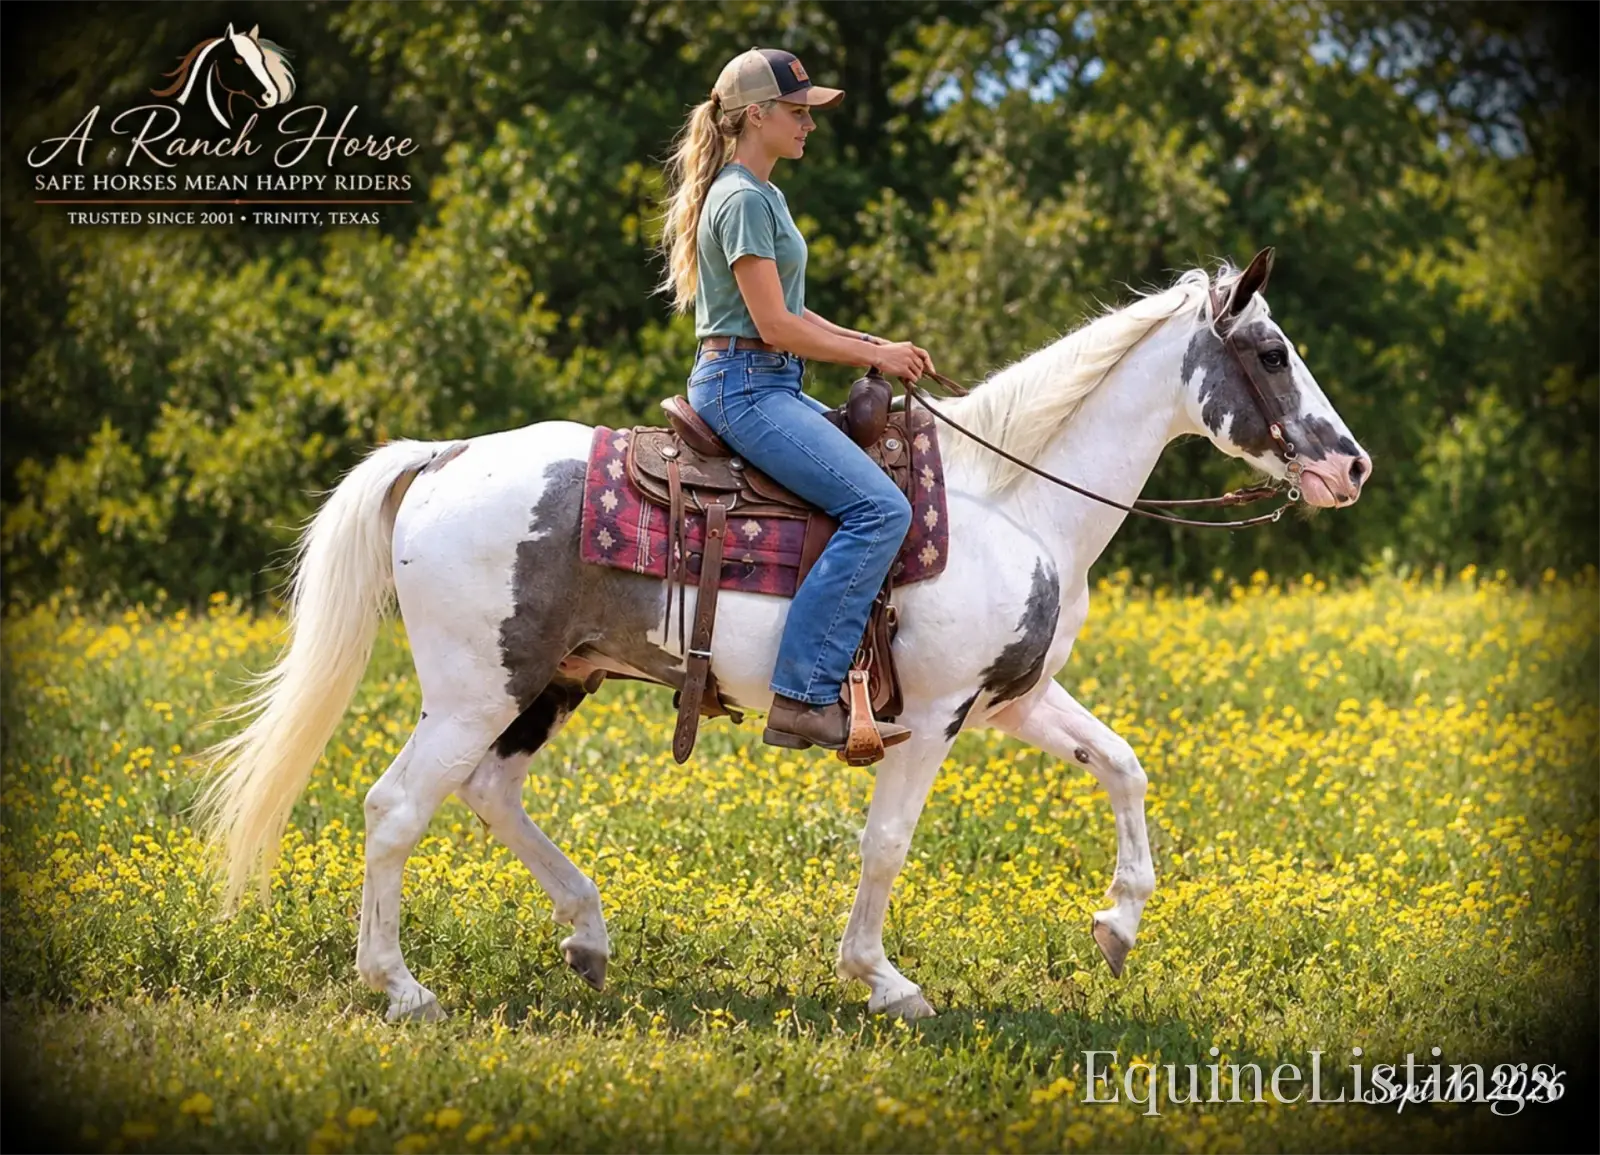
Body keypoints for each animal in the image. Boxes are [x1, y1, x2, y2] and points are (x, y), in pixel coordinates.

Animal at [199, 251, 1371, 1022]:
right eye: (1272, 350)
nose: (1350, 465)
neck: (1011, 505)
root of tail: (441, 457)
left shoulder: (1016, 701)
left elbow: (1123, 766)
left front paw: (1116, 924)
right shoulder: (933, 716)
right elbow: (887, 843)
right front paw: (883, 981)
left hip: (550, 685)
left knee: (488, 792)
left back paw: (587, 936)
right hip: (476, 689)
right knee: (397, 807)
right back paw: (400, 988)